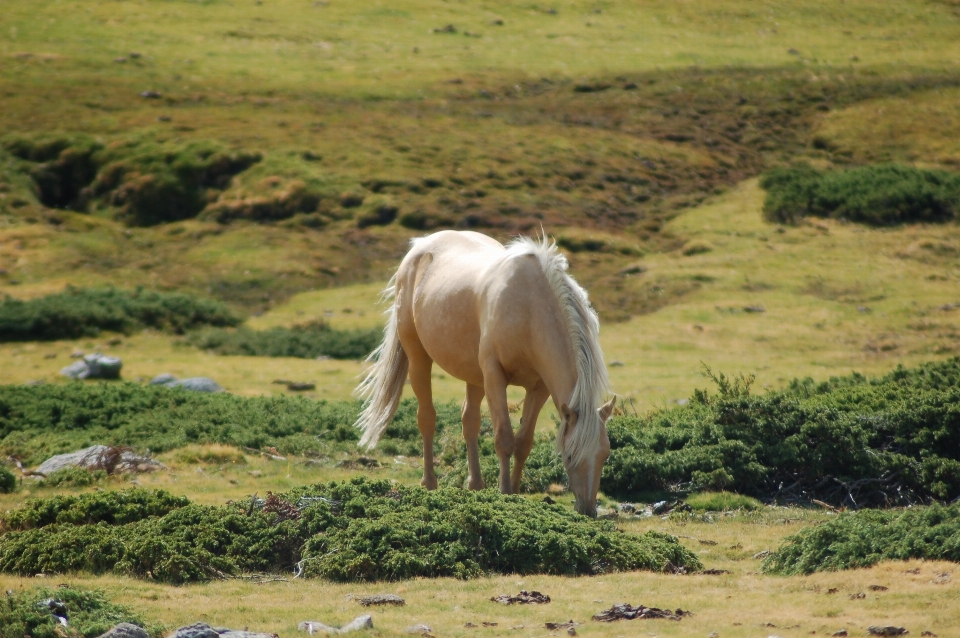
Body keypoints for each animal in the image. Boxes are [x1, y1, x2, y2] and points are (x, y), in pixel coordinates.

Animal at [352, 231, 616, 520]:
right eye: (569, 456)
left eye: (605, 455)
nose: (588, 509)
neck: (528, 307)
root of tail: (420, 245)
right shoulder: (494, 375)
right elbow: (504, 438)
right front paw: (504, 492)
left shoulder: (538, 387)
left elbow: (523, 442)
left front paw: (514, 491)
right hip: (418, 357)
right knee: (427, 418)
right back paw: (430, 483)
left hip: (474, 376)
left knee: (470, 422)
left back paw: (476, 484)